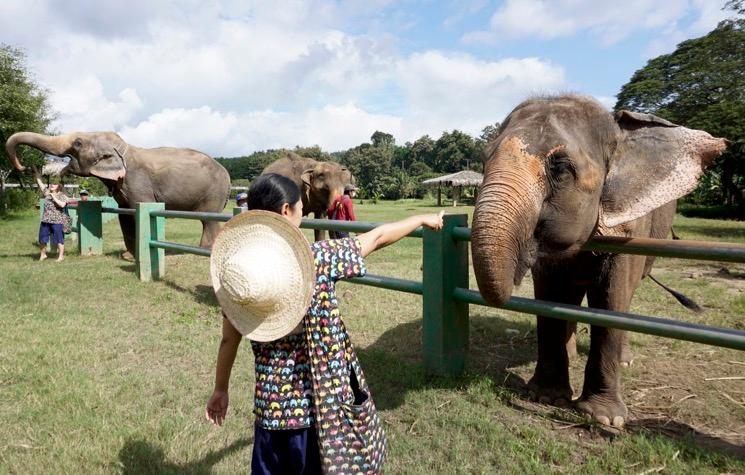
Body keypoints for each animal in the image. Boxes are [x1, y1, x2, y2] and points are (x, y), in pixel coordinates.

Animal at [6, 132, 230, 258]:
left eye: (77, 143)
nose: (26, 166)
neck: (123, 149)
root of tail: (227, 174)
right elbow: (125, 216)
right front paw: (127, 256)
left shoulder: (138, 183)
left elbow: (139, 210)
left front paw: (132, 258)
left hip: (214, 192)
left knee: (209, 220)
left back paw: (205, 251)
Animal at [470, 95, 728, 430]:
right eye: (484, 160)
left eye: (561, 168)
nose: (517, 268)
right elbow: (550, 294)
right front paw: (546, 397)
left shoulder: (629, 228)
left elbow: (610, 301)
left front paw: (604, 417)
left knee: (626, 297)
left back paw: (624, 360)